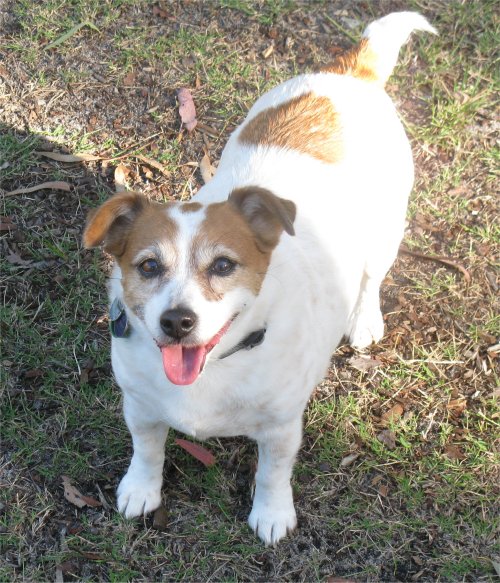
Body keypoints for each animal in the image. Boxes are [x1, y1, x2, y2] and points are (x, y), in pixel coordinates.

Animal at [83, 12, 436, 545]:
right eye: (148, 266)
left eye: (223, 265)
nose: (177, 322)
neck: (217, 366)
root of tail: (351, 72)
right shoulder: (141, 407)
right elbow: (147, 451)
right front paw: (141, 489)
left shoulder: (281, 427)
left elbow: (272, 473)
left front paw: (271, 513)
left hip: (387, 229)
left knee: (373, 276)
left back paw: (364, 319)